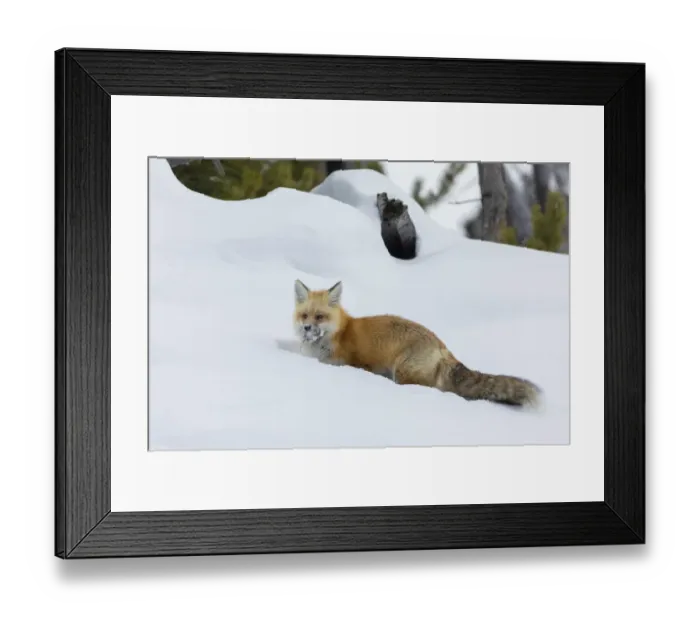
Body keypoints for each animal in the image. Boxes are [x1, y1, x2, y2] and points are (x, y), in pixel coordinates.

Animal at [293, 279, 542, 408]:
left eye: (320, 317)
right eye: (305, 316)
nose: (306, 329)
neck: (337, 334)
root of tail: (442, 345)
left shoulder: (353, 363)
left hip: (404, 373)